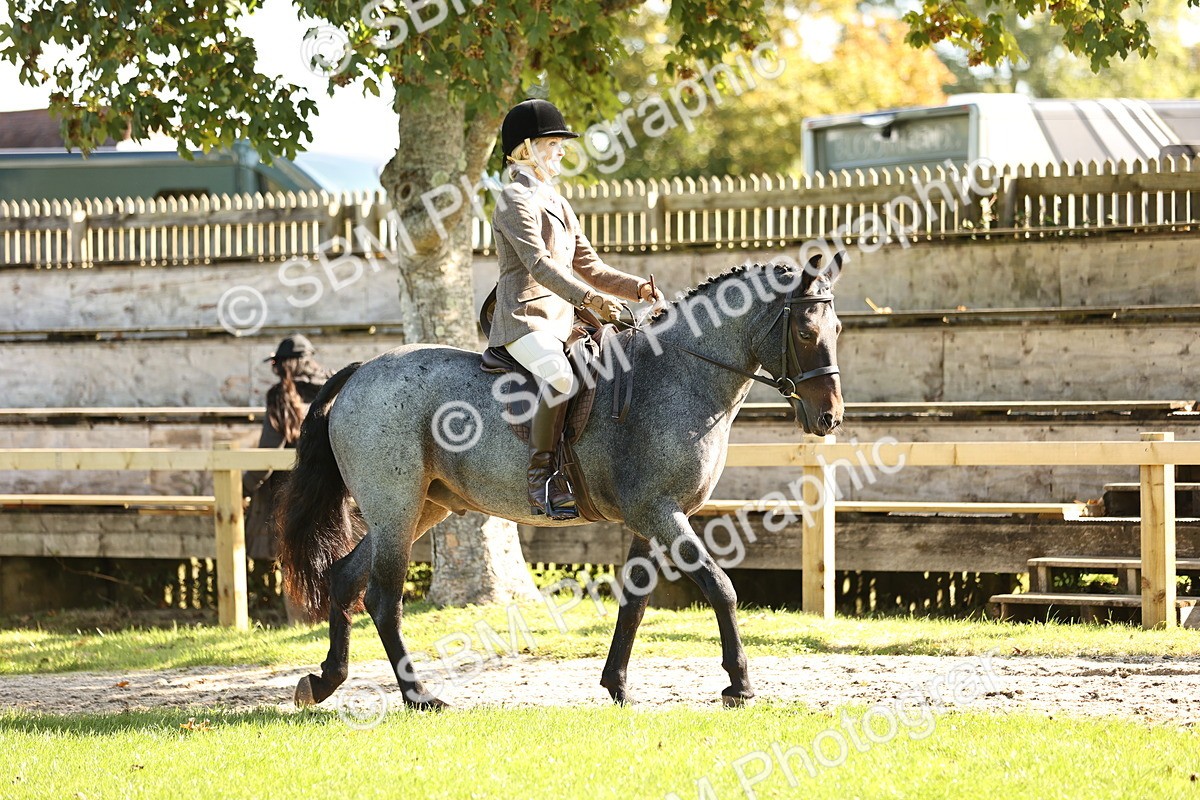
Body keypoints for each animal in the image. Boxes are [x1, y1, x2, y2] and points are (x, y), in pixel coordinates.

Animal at [279, 254, 845, 709]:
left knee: (345, 578)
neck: (679, 376)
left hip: (419, 508)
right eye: (804, 332)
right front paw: (739, 685)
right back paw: (419, 696)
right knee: (382, 597)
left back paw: (324, 681)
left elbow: (634, 601)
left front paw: (617, 685)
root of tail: (361, 371)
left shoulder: (648, 520)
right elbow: (720, 586)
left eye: (837, 329)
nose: (830, 418)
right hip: (395, 507)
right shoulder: (662, 514)